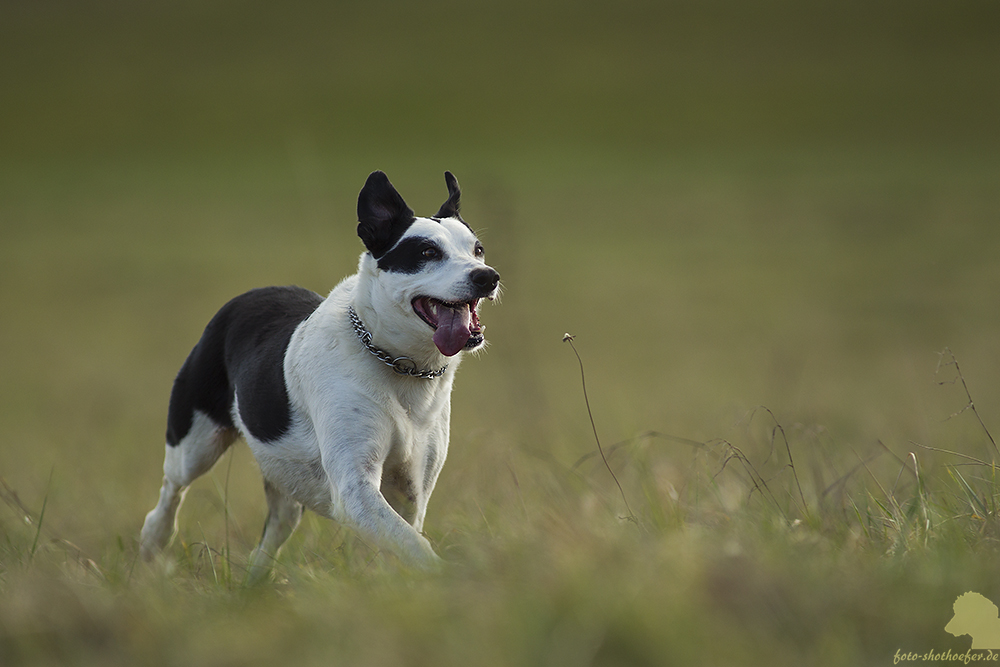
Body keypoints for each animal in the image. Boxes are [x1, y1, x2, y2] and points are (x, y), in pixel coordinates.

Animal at [141, 170, 500, 576]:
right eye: (427, 253)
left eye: (477, 250)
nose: (487, 277)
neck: (401, 366)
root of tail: (249, 294)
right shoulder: (354, 488)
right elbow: (413, 544)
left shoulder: (412, 490)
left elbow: (403, 541)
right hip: (195, 443)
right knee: (172, 490)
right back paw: (154, 541)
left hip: (283, 471)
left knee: (277, 523)